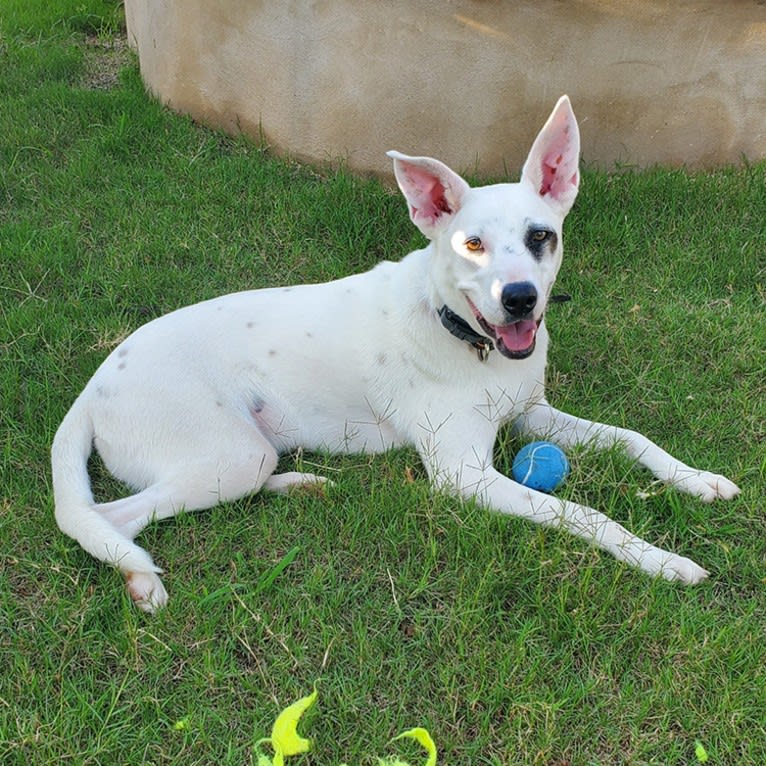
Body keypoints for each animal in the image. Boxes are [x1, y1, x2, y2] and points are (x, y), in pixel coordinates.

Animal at [51, 97, 740, 612]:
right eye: (471, 244)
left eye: (540, 236)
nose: (518, 299)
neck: (464, 337)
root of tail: (94, 385)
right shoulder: (464, 475)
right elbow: (584, 514)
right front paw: (663, 560)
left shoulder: (530, 414)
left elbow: (632, 438)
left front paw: (697, 479)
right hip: (230, 456)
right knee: (109, 516)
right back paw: (141, 578)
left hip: (244, 455)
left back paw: (302, 485)